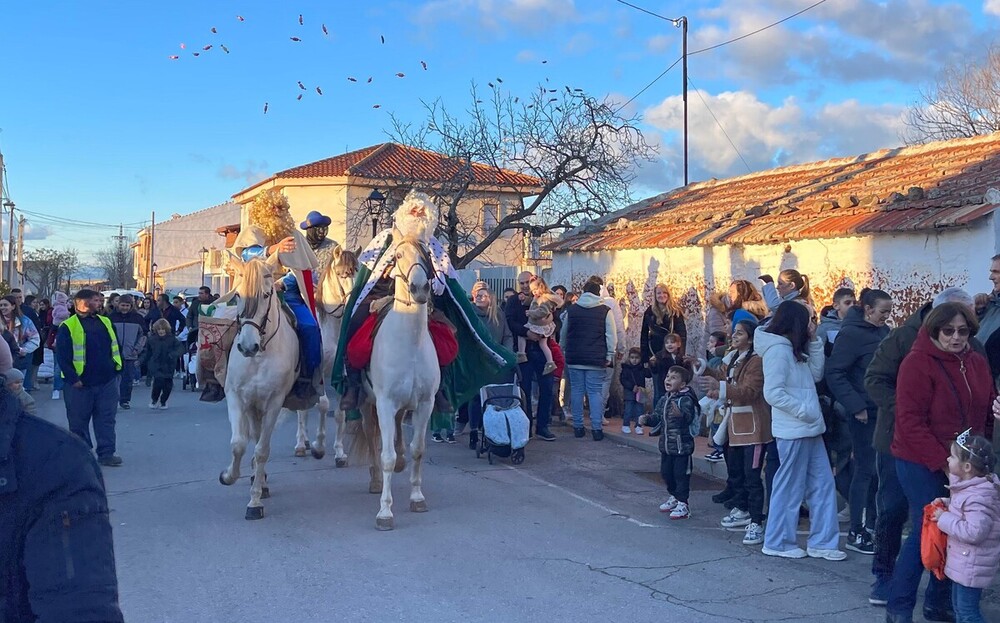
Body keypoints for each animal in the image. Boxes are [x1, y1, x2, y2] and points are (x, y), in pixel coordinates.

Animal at [218, 254, 298, 520]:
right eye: (237, 294)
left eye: (265, 295)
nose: (247, 346)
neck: (259, 356)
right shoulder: (236, 397)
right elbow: (238, 444)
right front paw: (228, 476)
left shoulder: (274, 402)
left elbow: (262, 450)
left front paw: (254, 503)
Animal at [292, 246, 360, 466]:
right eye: (342, 274)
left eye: (359, 272)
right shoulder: (319, 372)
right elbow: (323, 405)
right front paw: (319, 447)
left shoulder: (342, 375)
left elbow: (339, 413)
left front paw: (339, 453)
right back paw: (301, 444)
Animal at [360, 230, 438, 532]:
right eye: (398, 255)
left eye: (426, 253)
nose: (419, 289)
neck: (410, 344)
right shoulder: (384, 402)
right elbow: (387, 456)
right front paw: (385, 512)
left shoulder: (425, 404)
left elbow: (418, 449)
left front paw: (417, 497)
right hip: (367, 403)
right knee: (371, 436)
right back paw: (374, 480)